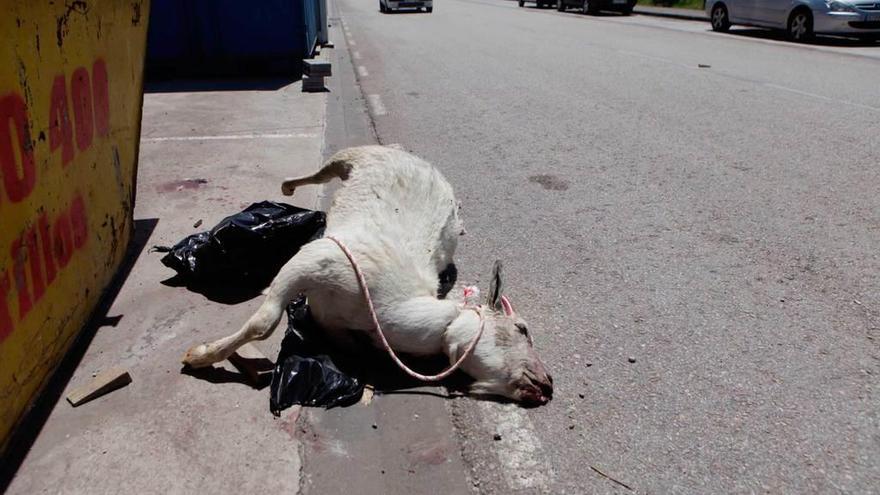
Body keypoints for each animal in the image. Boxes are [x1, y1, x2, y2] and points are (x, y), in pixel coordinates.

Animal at [185, 145, 552, 404]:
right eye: (522, 329)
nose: (547, 384)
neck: (385, 308)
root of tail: (415, 157)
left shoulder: (332, 321)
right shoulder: (314, 259)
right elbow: (263, 324)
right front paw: (200, 356)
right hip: (358, 154)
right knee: (323, 172)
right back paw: (288, 187)